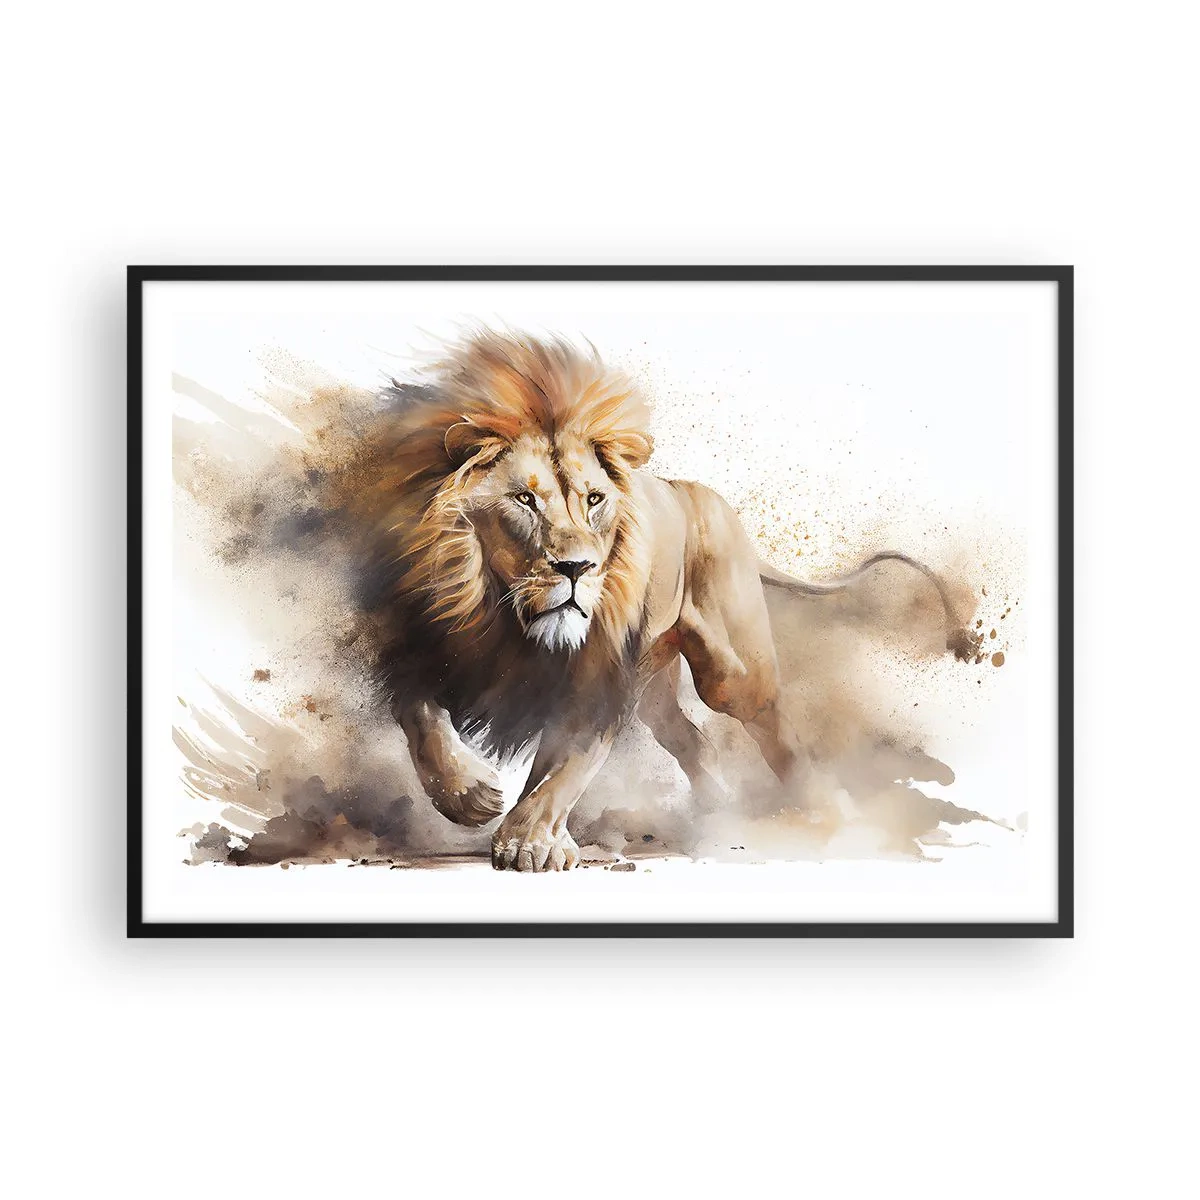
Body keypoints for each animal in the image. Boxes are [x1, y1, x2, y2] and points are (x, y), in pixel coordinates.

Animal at [343, 331, 975, 871]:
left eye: (594, 499)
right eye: (524, 500)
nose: (577, 568)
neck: (502, 613)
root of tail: (696, 492)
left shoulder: (597, 682)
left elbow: (563, 768)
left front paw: (532, 842)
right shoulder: (414, 642)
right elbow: (421, 720)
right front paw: (470, 796)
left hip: (732, 673)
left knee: (777, 726)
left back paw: (827, 814)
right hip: (655, 687)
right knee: (693, 740)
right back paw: (719, 810)